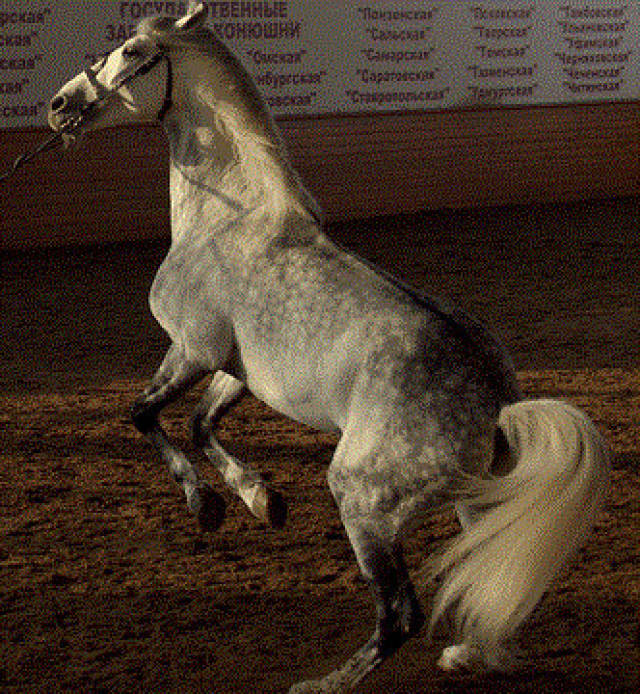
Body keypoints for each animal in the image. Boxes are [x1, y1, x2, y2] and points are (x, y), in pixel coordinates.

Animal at [48, 4, 610, 691]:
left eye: (130, 52)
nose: (59, 105)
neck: (225, 219)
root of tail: (496, 405)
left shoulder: (192, 350)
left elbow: (144, 415)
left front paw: (206, 506)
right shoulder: (239, 371)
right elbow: (201, 423)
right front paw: (262, 500)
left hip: (363, 500)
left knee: (401, 613)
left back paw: (324, 683)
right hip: (471, 502)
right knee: (488, 572)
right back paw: (472, 655)